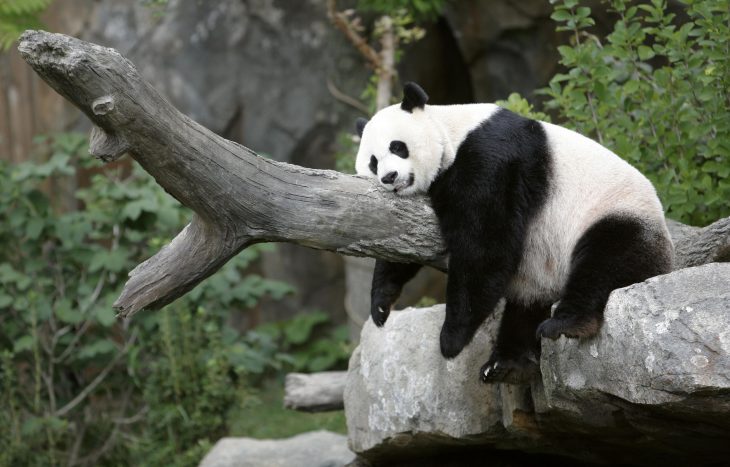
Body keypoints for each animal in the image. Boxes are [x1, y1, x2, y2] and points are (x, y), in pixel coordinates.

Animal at [352, 83, 672, 384]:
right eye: (373, 161)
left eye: (397, 147)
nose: (389, 177)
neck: (452, 132)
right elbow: (402, 239)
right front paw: (381, 305)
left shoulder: (491, 158)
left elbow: (484, 244)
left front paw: (451, 339)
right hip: (541, 272)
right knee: (526, 308)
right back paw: (506, 363)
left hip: (616, 215)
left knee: (604, 262)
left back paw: (566, 324)